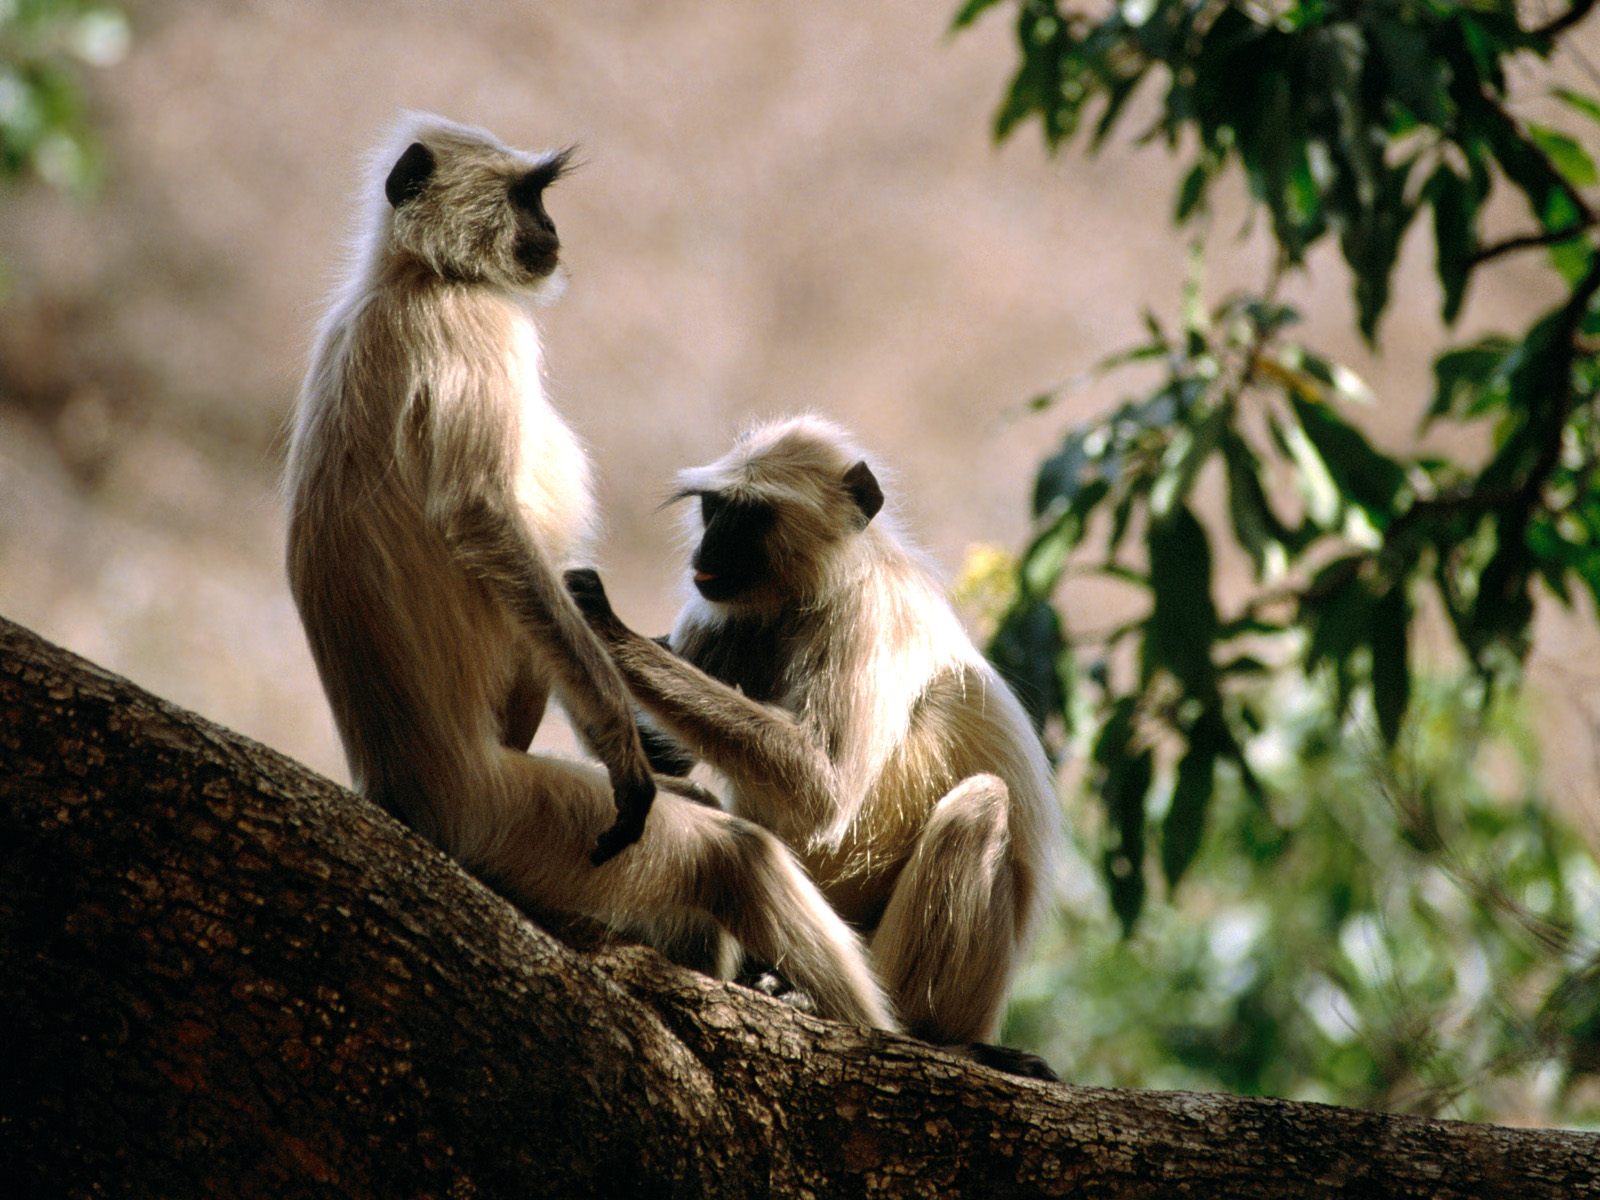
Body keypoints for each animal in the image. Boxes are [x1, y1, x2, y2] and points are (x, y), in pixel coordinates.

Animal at [281, 115, 896, 1036]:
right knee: (734, 857)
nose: (552, 230)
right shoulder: (471, 325)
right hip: (515, 819)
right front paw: (621, 745)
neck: (412, 280)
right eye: (528, 195)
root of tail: (402, 796)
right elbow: (480, 518)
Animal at [563, 416, 1062, 1068]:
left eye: (748, 518)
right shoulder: (723, 615)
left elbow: (822, 790)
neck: (810, 593)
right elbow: (661, 759)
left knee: (980, 806)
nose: (709, 548)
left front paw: (604, 626)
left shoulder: (868, 612)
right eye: (714, 509)